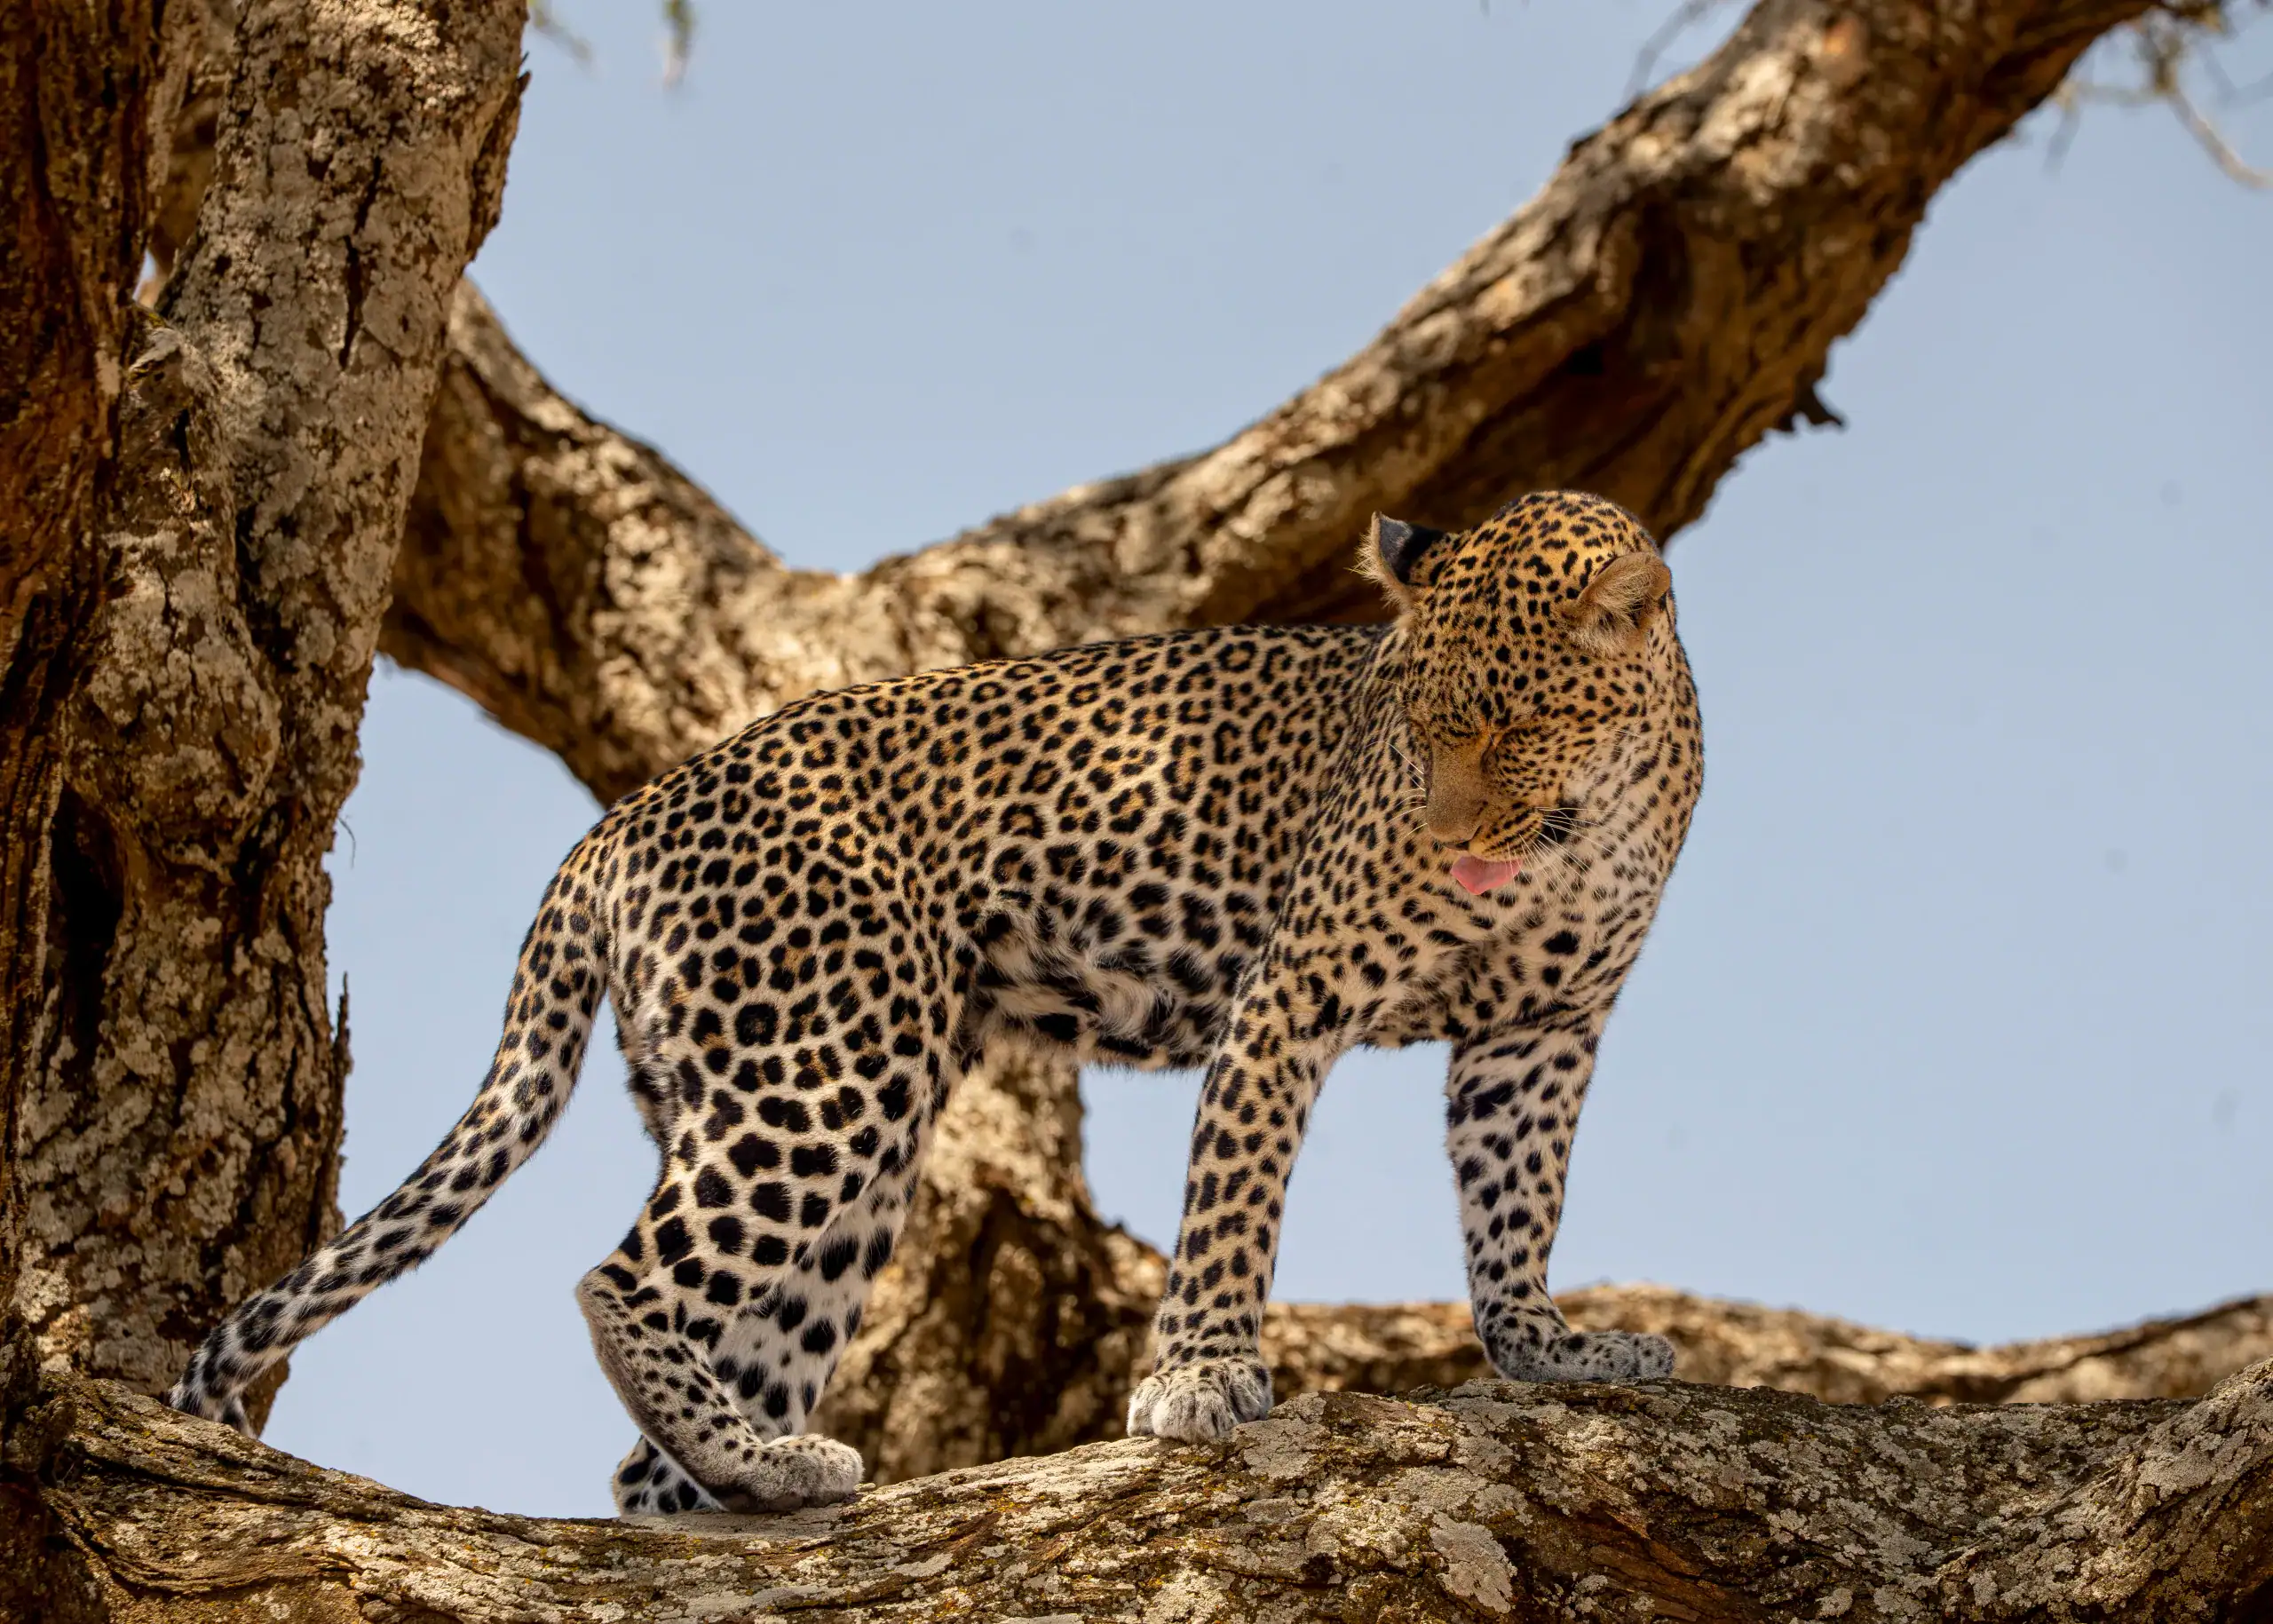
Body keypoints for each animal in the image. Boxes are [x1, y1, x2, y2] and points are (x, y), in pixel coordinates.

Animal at [168, 489, 1702, 1516]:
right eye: (1409, 721)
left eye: (1504, 724)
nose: (1439, 832)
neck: (1585, 818)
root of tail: (619, 823)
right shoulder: (1291, 993)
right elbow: (1235, 1203)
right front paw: (1201, 1377)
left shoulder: (1538, 1034)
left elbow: (1516, 1203)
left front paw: (1550, 1349)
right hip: (826, 1068)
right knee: (623, 1280)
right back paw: (747, 1454)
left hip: (830, 1128)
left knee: (662, 1434)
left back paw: (755, 1478)